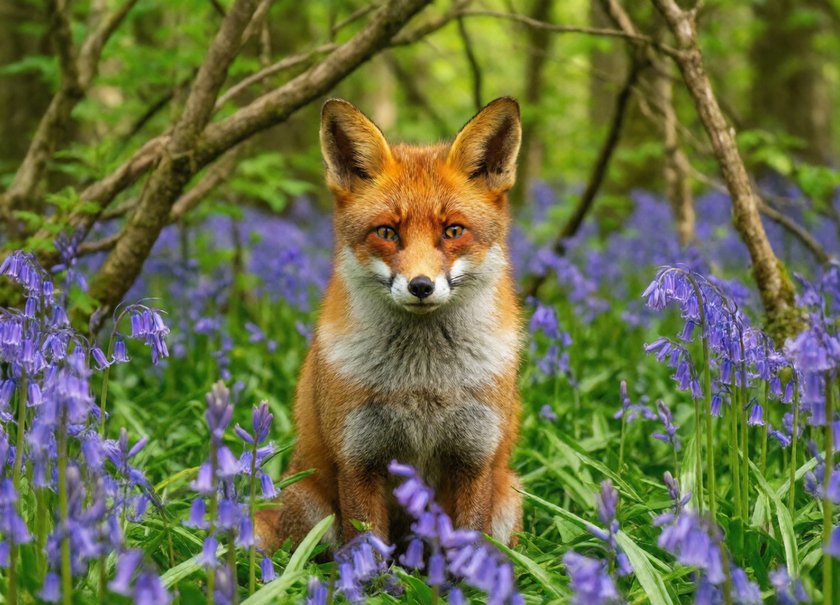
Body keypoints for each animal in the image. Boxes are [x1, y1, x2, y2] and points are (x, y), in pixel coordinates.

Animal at [255, 96, 524, 553]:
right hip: (312, 509)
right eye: (387, 232)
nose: (421, 286)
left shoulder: (475, 458)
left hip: (509, 494)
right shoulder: (359, 457)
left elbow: (468, 543)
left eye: (453, 230)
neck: (422, 383)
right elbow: (369, 551)